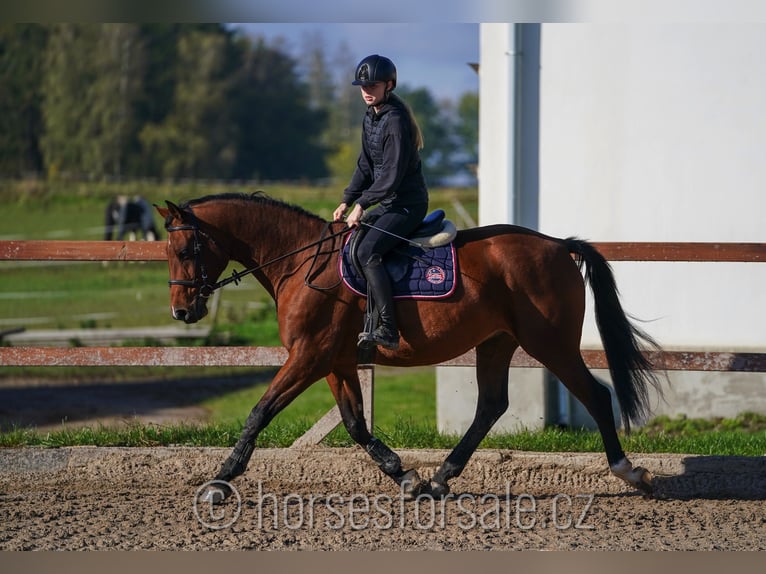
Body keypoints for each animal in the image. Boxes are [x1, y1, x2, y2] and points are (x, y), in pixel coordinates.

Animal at [156, 191, 664, 502]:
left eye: (185, 251)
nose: (181, 312)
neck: (302, 262)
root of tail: (558, 245)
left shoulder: (308, 356)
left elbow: (259, 413)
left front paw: (220, 481)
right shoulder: (336, 362)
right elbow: (355, 425)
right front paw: (405, 475)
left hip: (550, 344)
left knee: (595, 395)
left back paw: (629, 471)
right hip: (496, 343)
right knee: (491, 406)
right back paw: (440, 478)